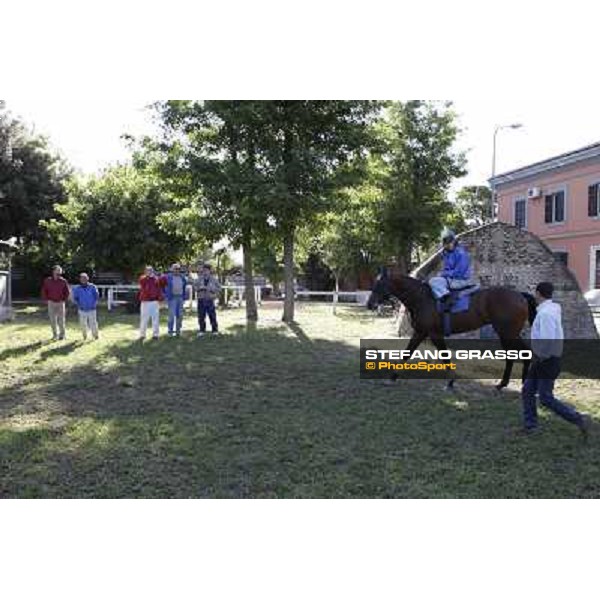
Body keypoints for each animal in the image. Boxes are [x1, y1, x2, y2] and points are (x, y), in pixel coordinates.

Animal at [366, 274, 540, 392]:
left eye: (379, 285)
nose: (369, 304)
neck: (422, 298)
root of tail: (520, 295)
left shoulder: (433, 334)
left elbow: (443, 357)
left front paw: (450, 382)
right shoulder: (421, 333)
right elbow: (407, 354)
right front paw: (392, 377)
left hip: (508, 333)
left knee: (523, 353)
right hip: (505, 333)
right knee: (513, 356)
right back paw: (503, 384)